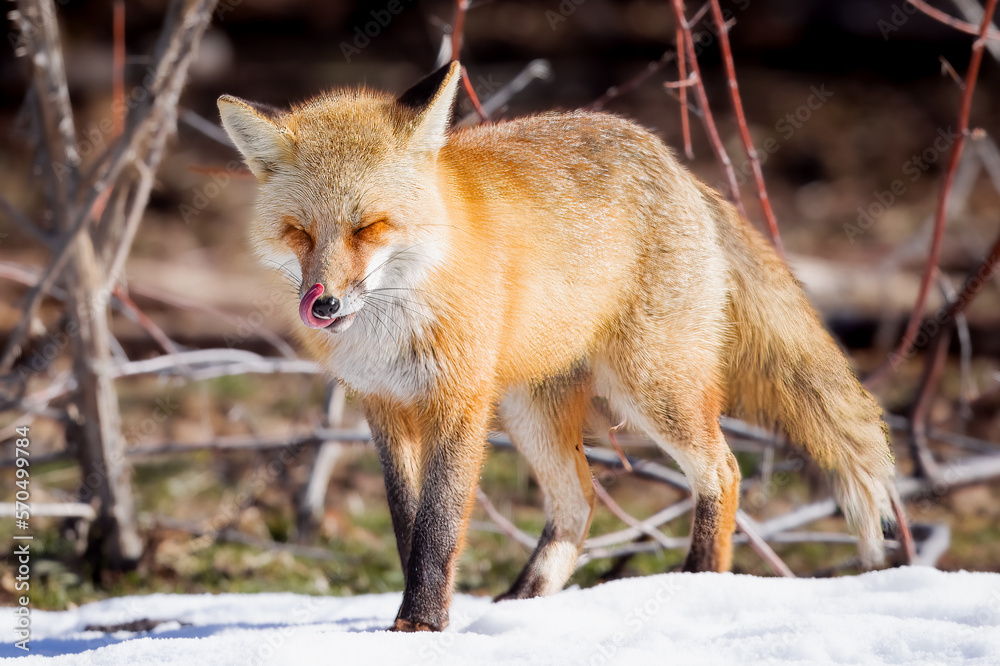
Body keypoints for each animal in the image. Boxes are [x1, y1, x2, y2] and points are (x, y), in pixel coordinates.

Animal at [217, 61, 899, 632]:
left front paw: (420, 627)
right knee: (581, 503)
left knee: (722, 471)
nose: (324, 305)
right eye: (299, 232)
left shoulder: (459, 405)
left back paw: (698, 581)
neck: (395, 321)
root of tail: (676, 166)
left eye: (370, 227)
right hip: (533, 413)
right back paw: (522, 605)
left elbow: (438, 527)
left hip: (651, 388)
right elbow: (408, 524)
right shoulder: (385, 408)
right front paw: (420, 620)